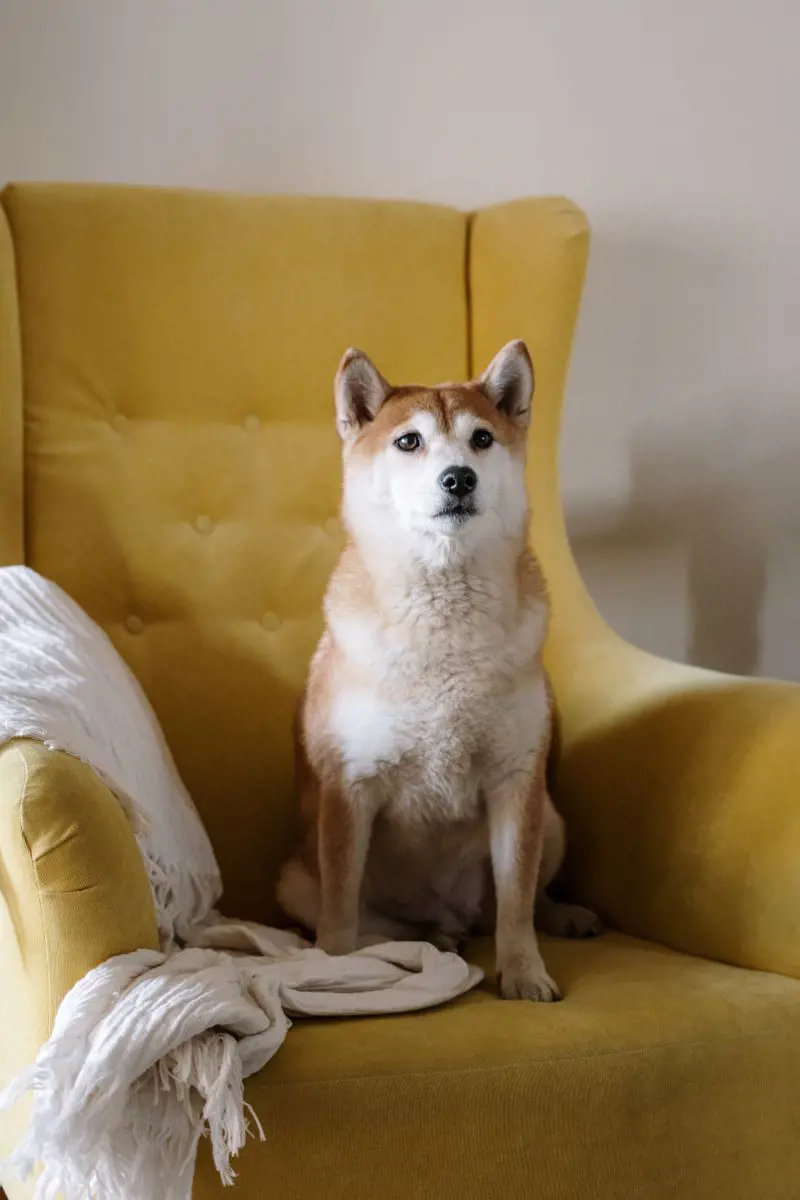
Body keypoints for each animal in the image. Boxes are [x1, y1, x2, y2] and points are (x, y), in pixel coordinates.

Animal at [278, 340, 597, 1003]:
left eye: (481, 439)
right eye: (408, 441)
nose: (458, 478)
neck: (445, 627)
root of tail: (451, 913)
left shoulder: (516, 782)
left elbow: (516, 902)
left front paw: (523, 972)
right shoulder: (348, 789)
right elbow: (340, 911)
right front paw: (335, 970)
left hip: (551, 819)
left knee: (518, 902)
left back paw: (558, 916)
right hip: (295, 881)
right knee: (376, 925)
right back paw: (424, 940)